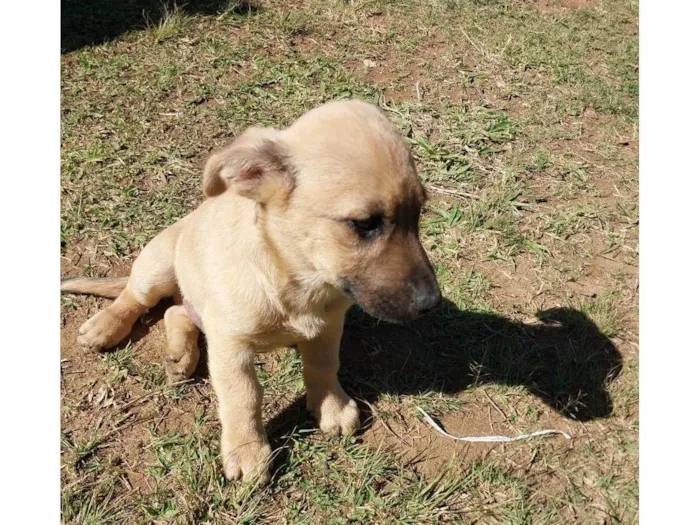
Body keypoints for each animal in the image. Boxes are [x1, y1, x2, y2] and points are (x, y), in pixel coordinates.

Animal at [63, 98, 440, 484]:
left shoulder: (329, 325)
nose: (431, 303)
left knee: (176, 311)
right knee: (137, 299)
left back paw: (182, 354)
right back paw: (105, 326)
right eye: (364, 224)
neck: (295, 279)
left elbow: (323, 365)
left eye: (419, 213)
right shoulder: (230, 346)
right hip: (159, 263)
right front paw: (247, 450)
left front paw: (331, 407)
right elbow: (243, 396)